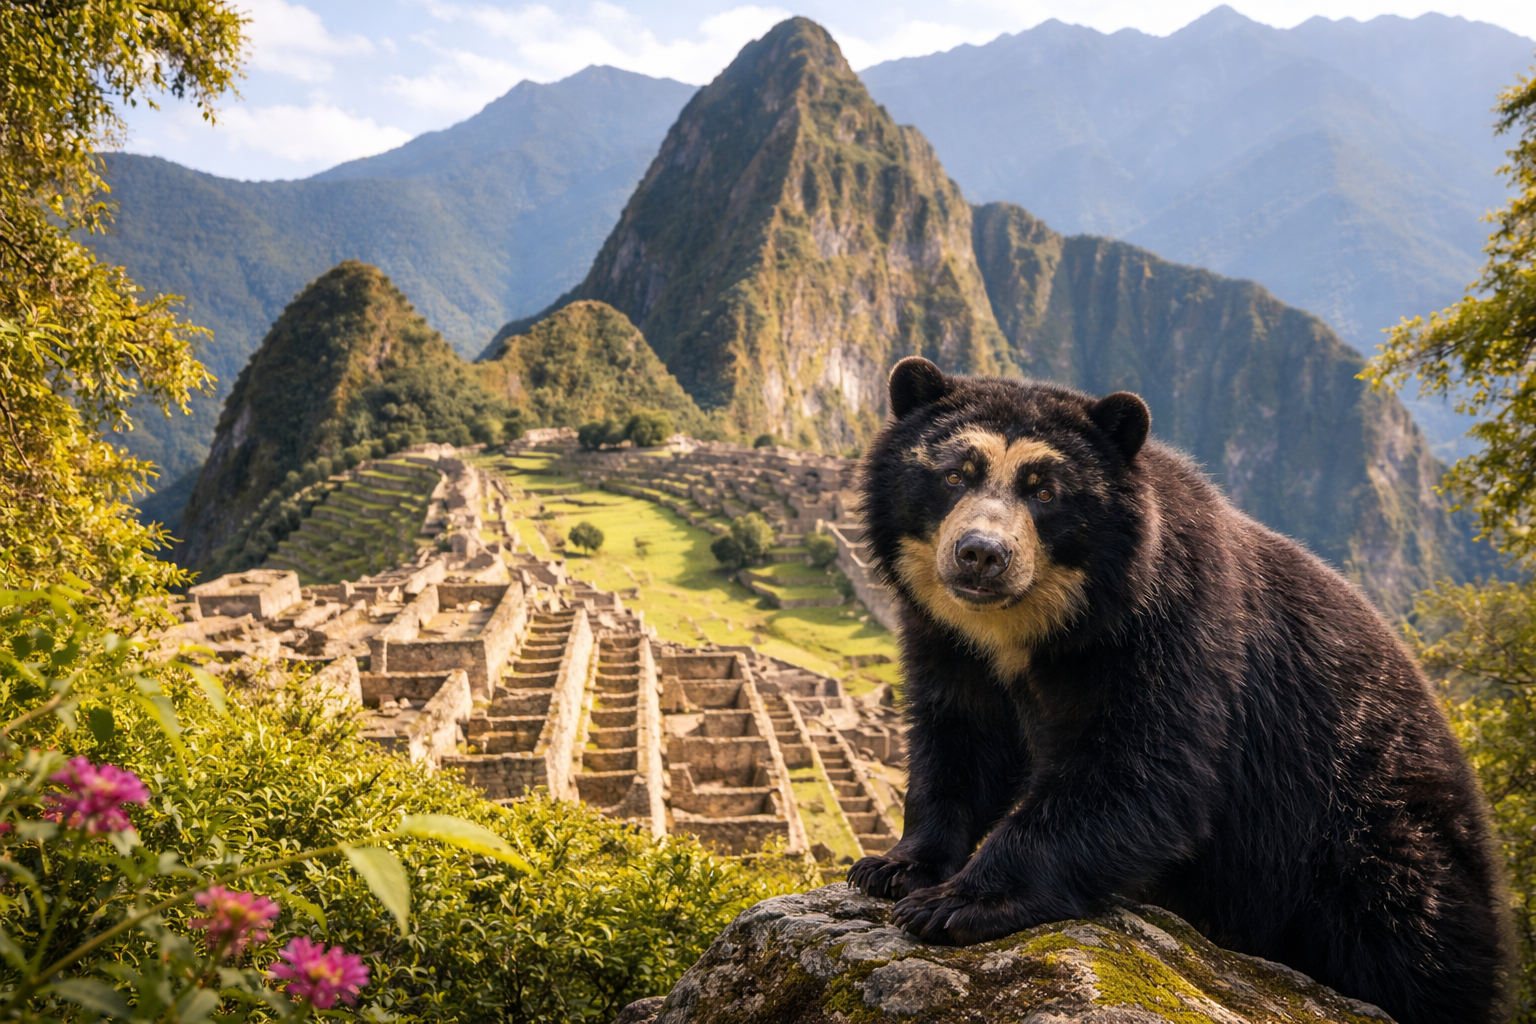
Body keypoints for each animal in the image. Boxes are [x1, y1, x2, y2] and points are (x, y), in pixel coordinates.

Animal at [847, 357, 1514, 1024]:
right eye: (954, 474)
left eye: (1045, 492)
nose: (981, 555)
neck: (1029, 630)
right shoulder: (951, 641)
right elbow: (959, 741)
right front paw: (889, 868)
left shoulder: (1172, 624)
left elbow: (1143, 768)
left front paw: (953, 904)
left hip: (1375, 844)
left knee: (1400, 939)